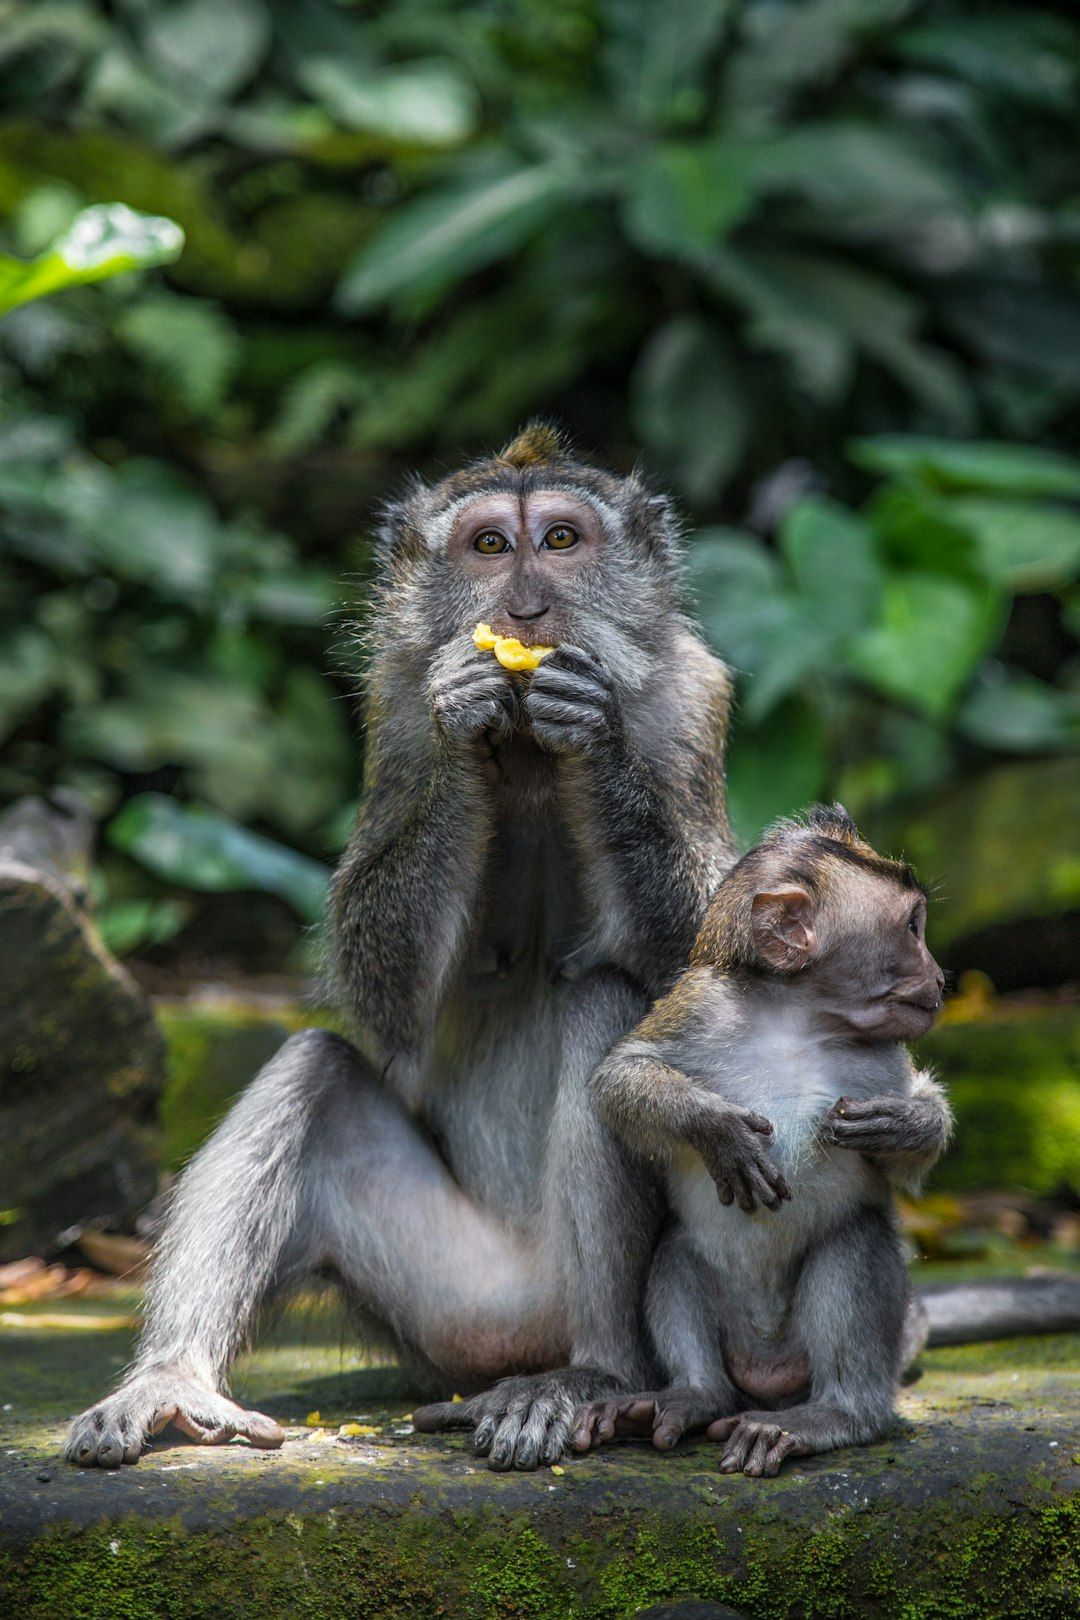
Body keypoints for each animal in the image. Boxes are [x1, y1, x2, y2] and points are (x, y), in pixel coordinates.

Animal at [572, 806, 958, 1474]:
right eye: (912, 926)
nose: (939, 977)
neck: (798, 1018)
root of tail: (768, 1372)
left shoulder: (882, 1059)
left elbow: (907, 1161)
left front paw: (908, 1123)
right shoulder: (701, 1008)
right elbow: (621, 1074)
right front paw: (719, 1131)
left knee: (854, 1244)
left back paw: (834, 1416)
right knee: (678, 1254)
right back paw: (691, 1395)